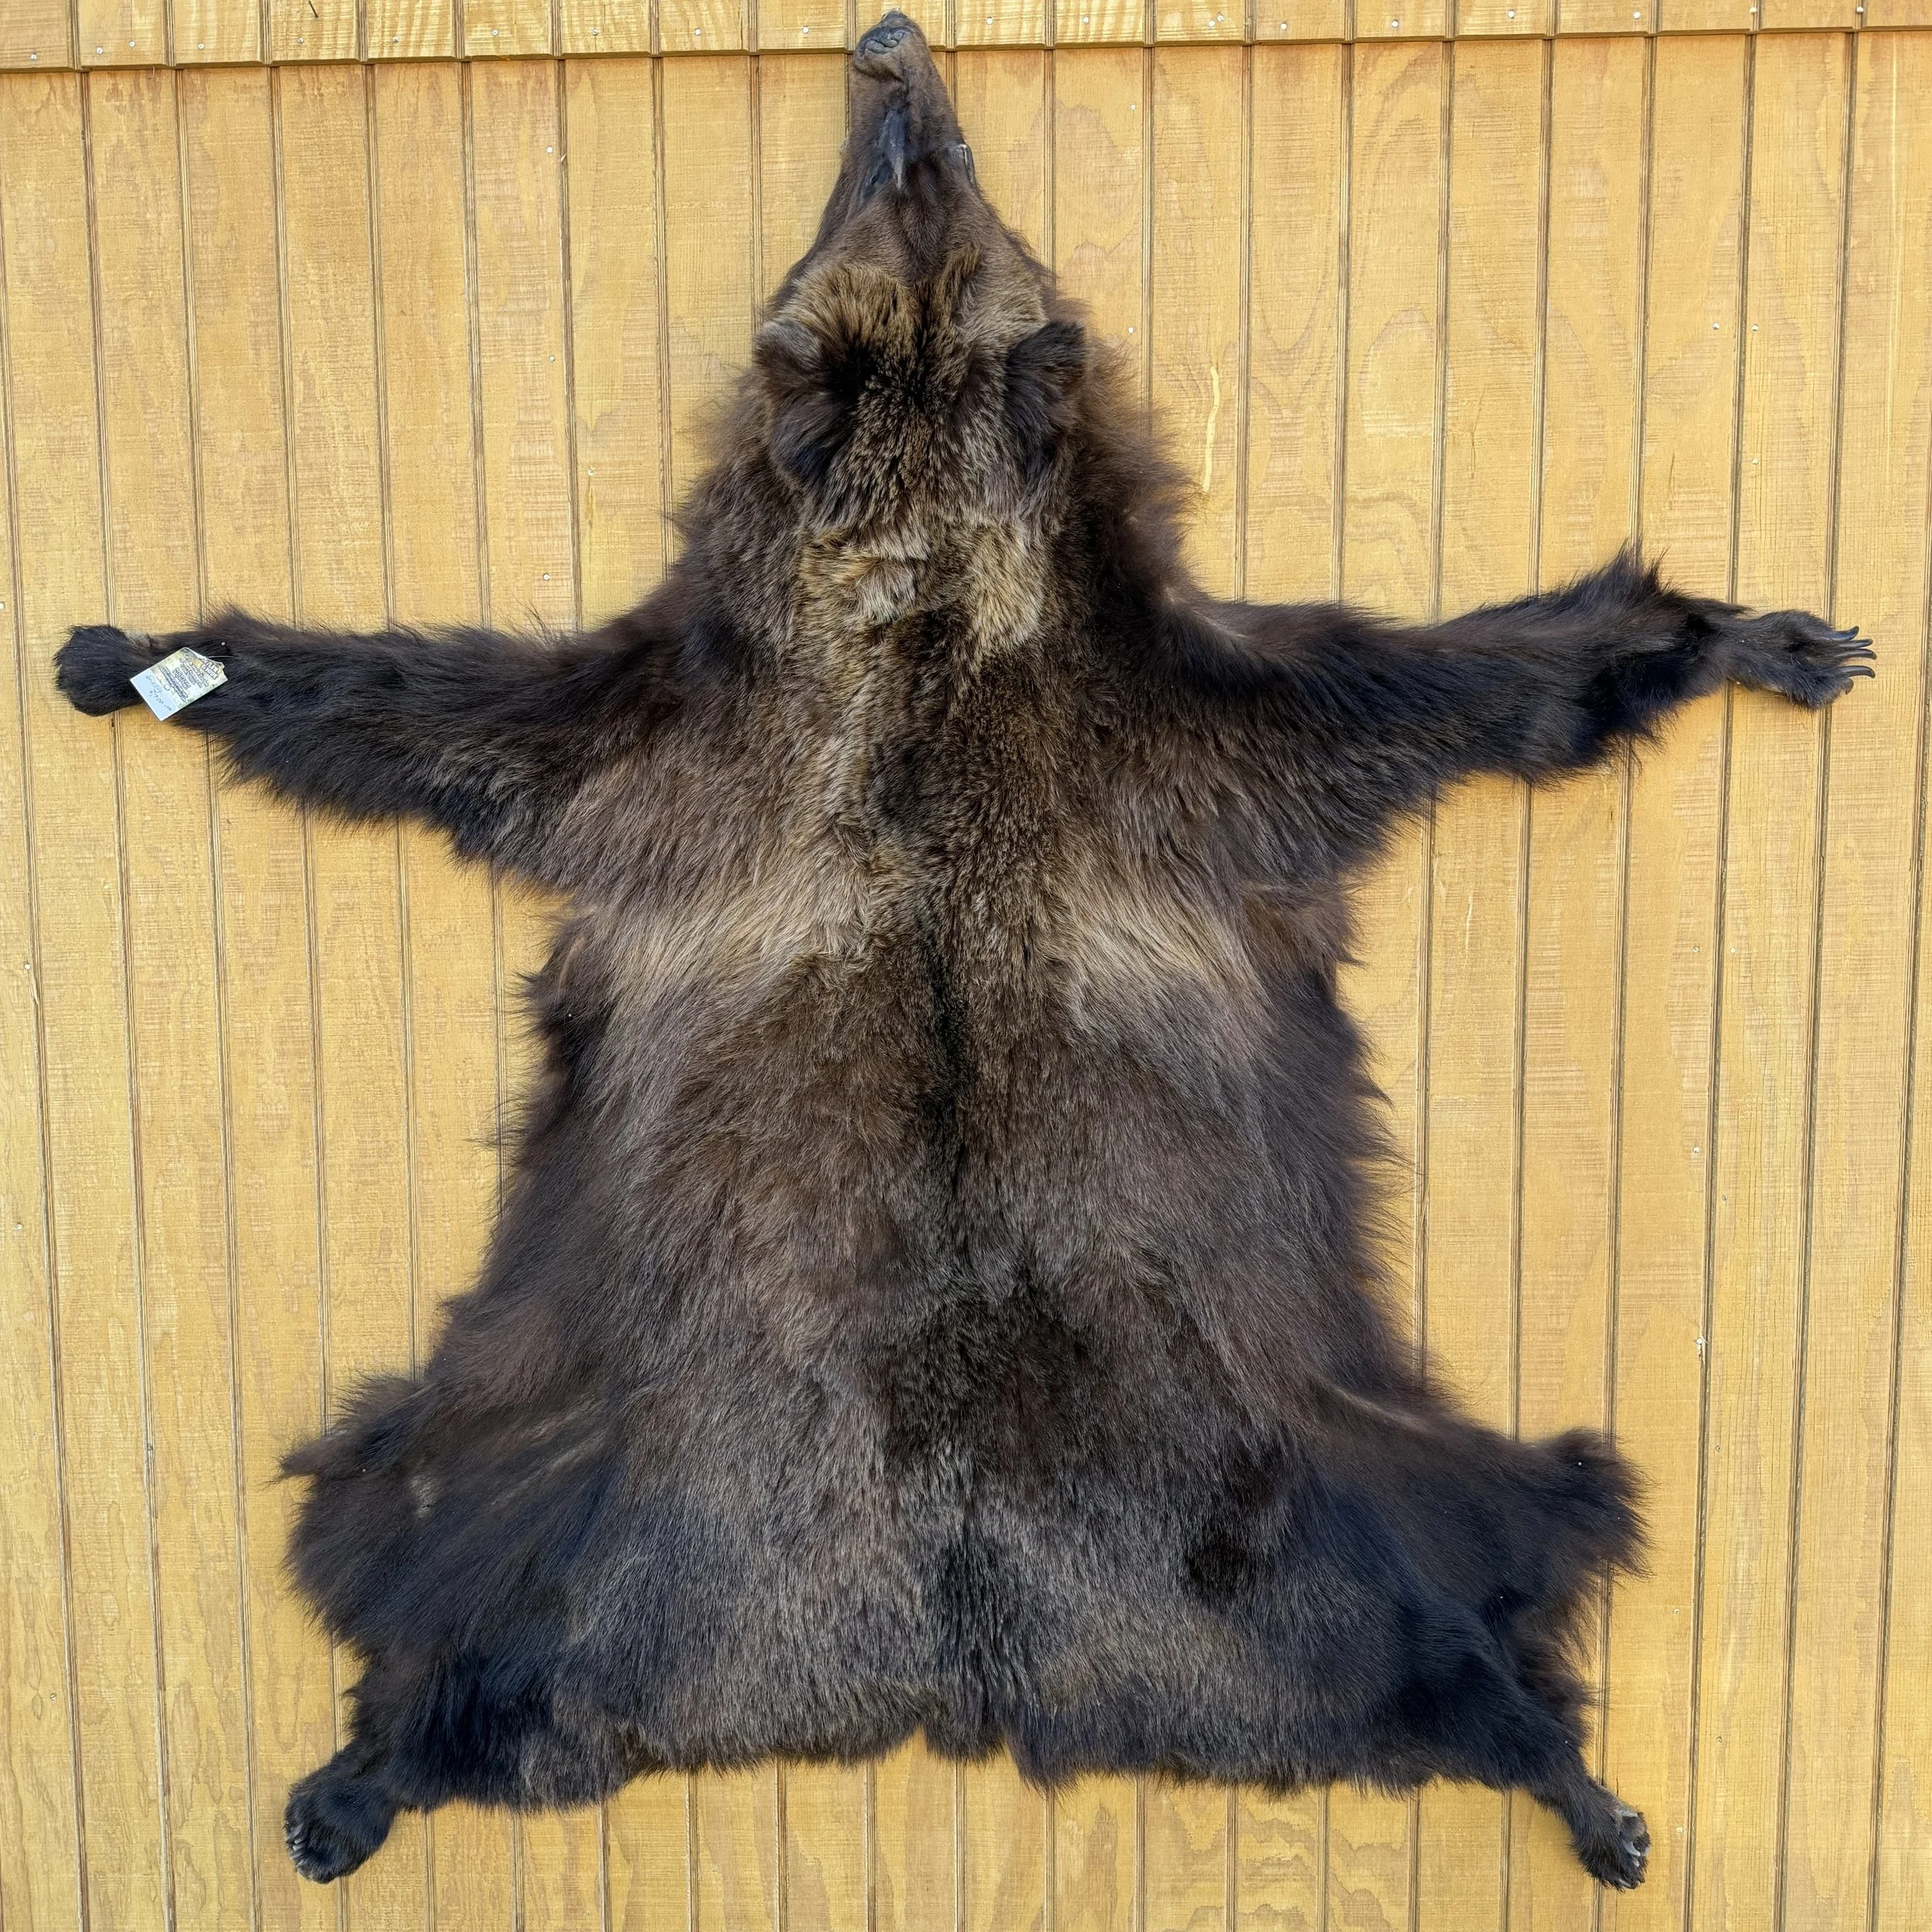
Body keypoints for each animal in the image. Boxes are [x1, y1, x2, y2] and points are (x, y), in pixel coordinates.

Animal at [55, 11, 1870, 1893]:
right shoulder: (680, 737)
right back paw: (364, 1768)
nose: (890, 48)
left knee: (1453, 1605)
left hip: (1329, 1483)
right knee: (450, 1580)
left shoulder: (1188, 722)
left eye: (937, 183)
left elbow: (1487, 685)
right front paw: (134, 656)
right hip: (567, 1485)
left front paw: (1746, 635)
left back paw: (1569, 1774)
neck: (924, 599)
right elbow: (406, 711)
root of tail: (960, 1655)